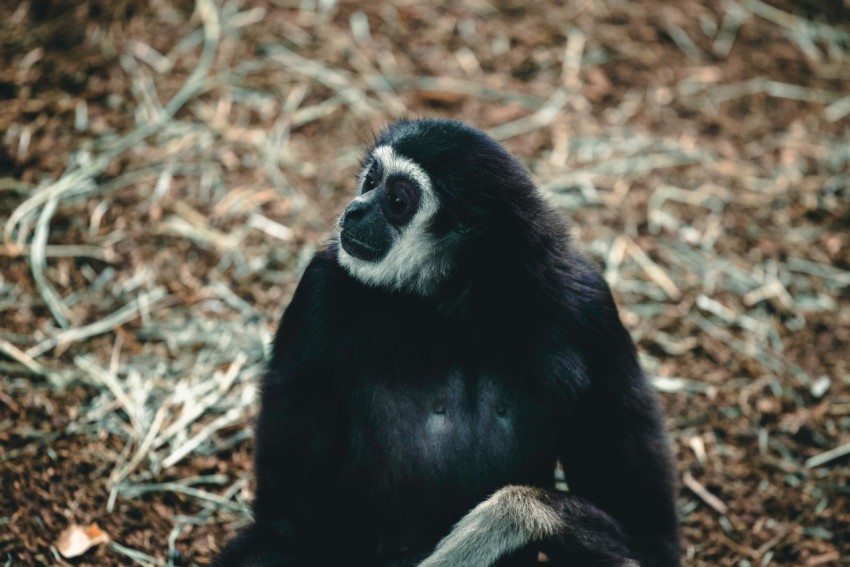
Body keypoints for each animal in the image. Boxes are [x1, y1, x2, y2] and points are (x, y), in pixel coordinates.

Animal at [212, 119, 680, 567]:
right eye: (370, 180)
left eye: (397, 200)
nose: (356, 209)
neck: (458, 308)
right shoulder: (319, 294)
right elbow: (288, 526)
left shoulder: (589, 306)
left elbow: (649, 539)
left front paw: (499, 524)